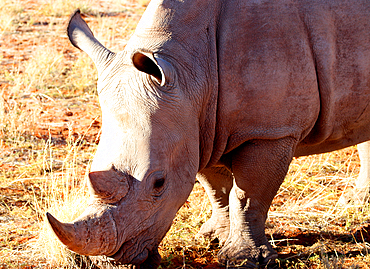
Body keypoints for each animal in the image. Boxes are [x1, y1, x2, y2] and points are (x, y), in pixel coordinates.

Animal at [47, 0, 370, 266]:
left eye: (159, 184)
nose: (110, 260)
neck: (190, 70)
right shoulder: (198, 126)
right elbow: (216, 188)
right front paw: (214, 237)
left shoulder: (270, 132)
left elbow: (248, 195)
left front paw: (244, 259)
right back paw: (355, 203)